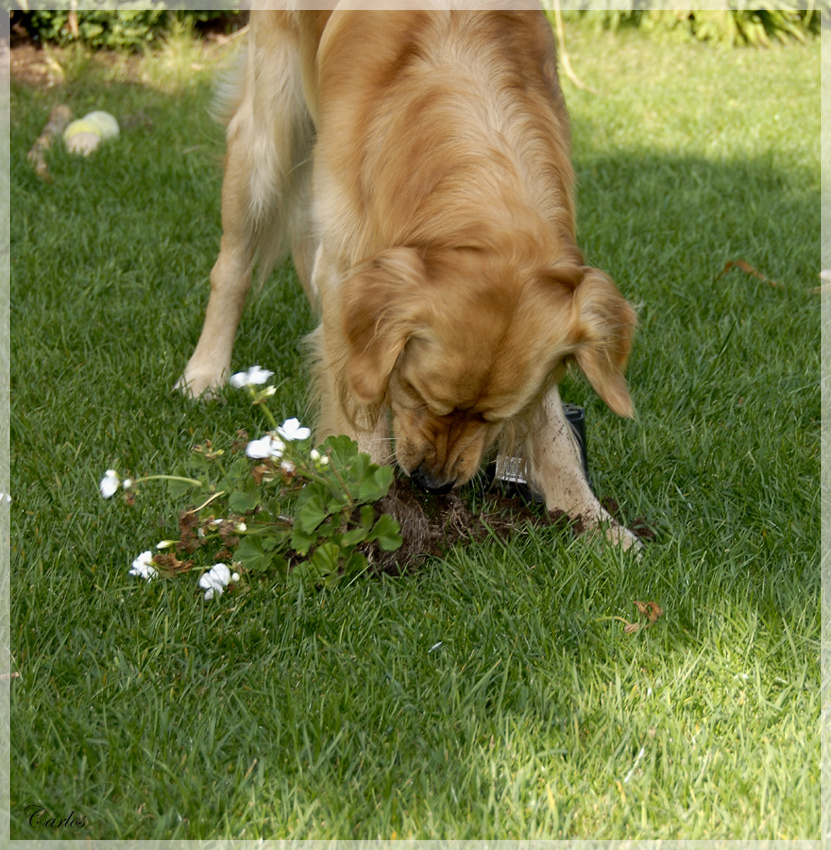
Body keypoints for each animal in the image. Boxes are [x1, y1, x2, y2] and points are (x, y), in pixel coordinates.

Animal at [179, 3, 640, 548]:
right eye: (419, 394)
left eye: (492, 416)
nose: (432, 483)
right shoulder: (347, 264)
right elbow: (360, 411)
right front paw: (372, 515)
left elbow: (550, 426)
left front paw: (594, 521)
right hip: (266, 135)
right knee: (232, 266)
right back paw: (205, 372)